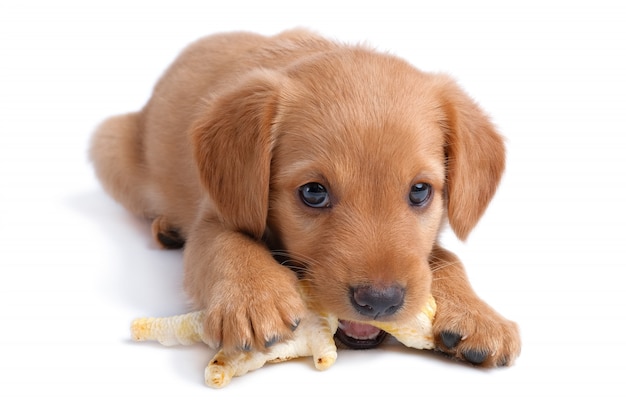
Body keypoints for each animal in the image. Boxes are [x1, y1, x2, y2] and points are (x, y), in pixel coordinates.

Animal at [90, 29, 520, 366]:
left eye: (420, 191)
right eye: (314, 192)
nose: (380, 301)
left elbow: (446, 257)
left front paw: (478, 315)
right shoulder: (217, 213)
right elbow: (225, 242)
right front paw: (253, 297)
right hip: (109, 146)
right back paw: (166, 227)